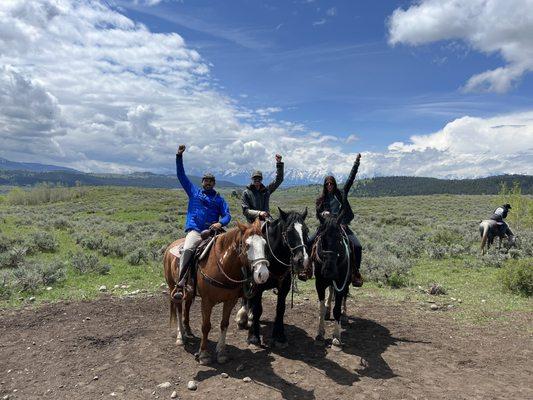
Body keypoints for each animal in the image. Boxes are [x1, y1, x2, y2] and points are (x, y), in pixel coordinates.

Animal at [163, 219, 270, 366]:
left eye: (264, 244)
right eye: (247, 245)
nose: (263, 274)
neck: (222, 264)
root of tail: (170, 246)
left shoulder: (230, 301)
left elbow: (224, 324)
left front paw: (221, 353)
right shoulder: (207, 301)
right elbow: (206, 326)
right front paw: (204, 355)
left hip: (189, 293)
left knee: (187, 308)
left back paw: (188, 331)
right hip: (173, 287)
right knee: (179, 310)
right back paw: (180, 337)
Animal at [236, 209, 310, 346]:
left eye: (306, 230)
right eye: (289, 231)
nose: (302, 260)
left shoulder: (284, 287)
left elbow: (280, 309)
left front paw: (279, 336)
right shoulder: (258, 286)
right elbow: (257, 309)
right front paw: (253, 336)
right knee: (245, 298)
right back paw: (242, 318)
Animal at [310, 214, 352, 348]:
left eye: (339, 238)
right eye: (322, 238)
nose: (329, 270)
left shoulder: (341, 282)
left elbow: (337, 309)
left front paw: (336, 337)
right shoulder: (319, 283)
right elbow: (321, 309)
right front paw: (320, 335)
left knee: (344, 295)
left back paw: (344, 315)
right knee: (331, 290)